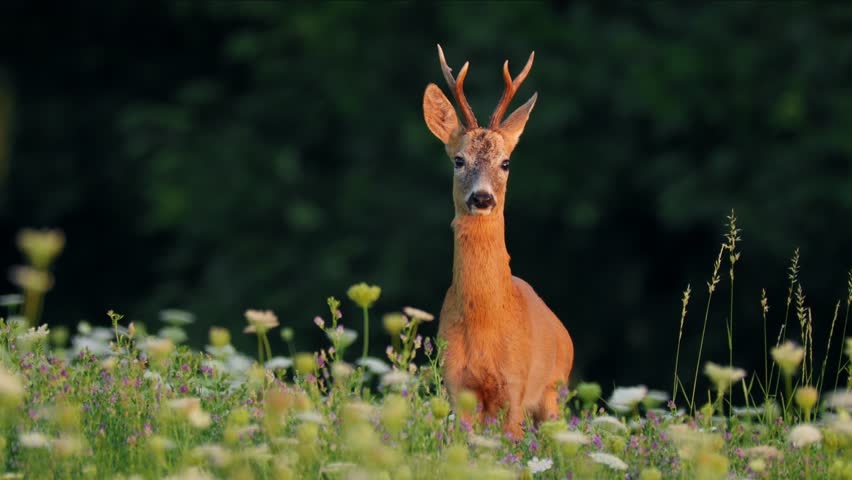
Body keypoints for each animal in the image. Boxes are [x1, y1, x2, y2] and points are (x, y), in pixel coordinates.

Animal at [423, 45, 574, 439]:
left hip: (553, 391)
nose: (482, 198)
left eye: (505, 162)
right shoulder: (457, 385)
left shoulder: (515, 388)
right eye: (458, 160)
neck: (486, 324)